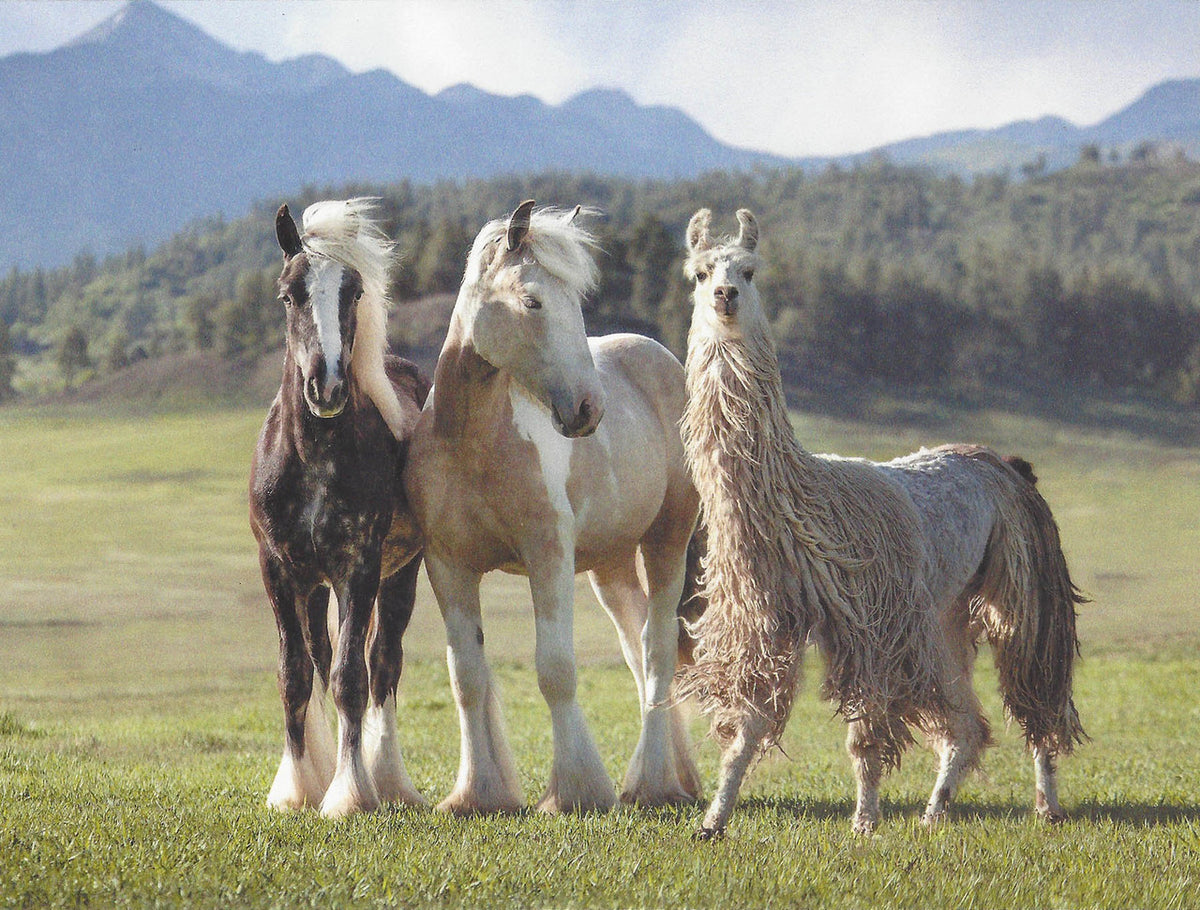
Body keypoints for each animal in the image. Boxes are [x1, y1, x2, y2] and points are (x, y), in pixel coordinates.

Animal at [249, 198, 430, 818]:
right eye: (289, 294)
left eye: (352, 292)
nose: (325, 386)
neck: (313, 460)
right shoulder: (281, 572)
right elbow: (294, 675)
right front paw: (296, 785)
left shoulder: (360, 569)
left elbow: (353, 676)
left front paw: (349, 793)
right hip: (315, 587)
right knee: (321, 659)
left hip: (400, 576)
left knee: (383, 663)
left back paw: (388, 778)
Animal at [402, 200, 702, 813]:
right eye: (533, 301)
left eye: (576, 304)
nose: (589, 409)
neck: (471, 442)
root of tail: (661, 360)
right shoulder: (447, 565)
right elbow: (467, 676)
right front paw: (476, 794)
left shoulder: (548, 555)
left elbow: (556, 670)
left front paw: (576, 791)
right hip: (611, 565)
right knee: (635, 646)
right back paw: (666, 775)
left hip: (667, 540)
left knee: (657, 650)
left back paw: (652, 782)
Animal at [675, 207, 1085, 837]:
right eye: (699, 273)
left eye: (749, 270)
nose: (725, 296)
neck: (805, 499)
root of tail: (1001, 461)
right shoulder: (770, 621)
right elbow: (746, 729)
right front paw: (713, 821)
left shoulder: (874, 622)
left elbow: (864, 737)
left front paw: (864, 822)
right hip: (943, 611)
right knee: (967, 725)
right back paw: (935, 811)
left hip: (1021, 588)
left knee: (1035, 687)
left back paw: (1048, 804)